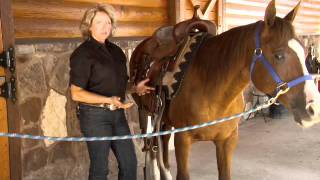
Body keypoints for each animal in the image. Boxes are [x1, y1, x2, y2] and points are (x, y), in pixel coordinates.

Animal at [130, 0, 320, 179]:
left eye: (305, 53)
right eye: (279, 55)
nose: (314, 109)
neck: (213, 91)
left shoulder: (227, 141)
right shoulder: (182, 140)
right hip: (145, 112)